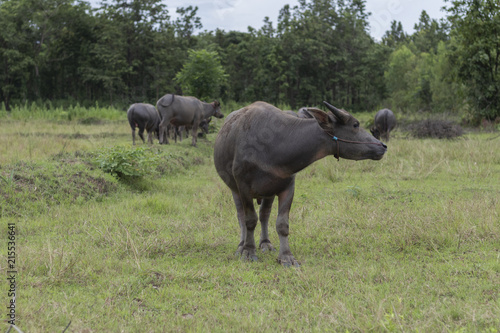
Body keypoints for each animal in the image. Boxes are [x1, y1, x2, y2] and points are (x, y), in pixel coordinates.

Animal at [215, 100, 386, 266]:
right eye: (355, 125)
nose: (383, 146)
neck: (275, 145)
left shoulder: (288, 187)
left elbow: (282, 224)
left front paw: (286, 256)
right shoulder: (243, 186)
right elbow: (249, 219)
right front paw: (248, 252)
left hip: (268, 191)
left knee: (264, 215)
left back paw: (265, 243)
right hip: (235, 189)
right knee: (241, 216)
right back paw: (241, 245)